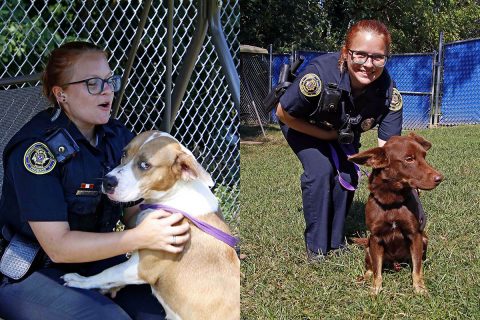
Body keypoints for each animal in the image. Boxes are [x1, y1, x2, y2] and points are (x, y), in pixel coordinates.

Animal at [62, 131, 240, 320]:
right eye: (124, 153)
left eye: (145, 165)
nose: (107, 181)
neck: (174, 196)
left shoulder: (141, 266)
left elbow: (107, 272)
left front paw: (80, 281)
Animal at [348, 133, 442, 296]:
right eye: (409, 159)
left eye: (424, 156)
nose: (440, 178)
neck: (392, 202)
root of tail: (395, 263)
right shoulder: (376, 238)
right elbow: (377, 271)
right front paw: (375, 290)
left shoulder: (415, 235)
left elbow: (417, 269)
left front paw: (420, 288)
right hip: (368, 246)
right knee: (371, 267)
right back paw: (364, 277)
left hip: (424, 239)